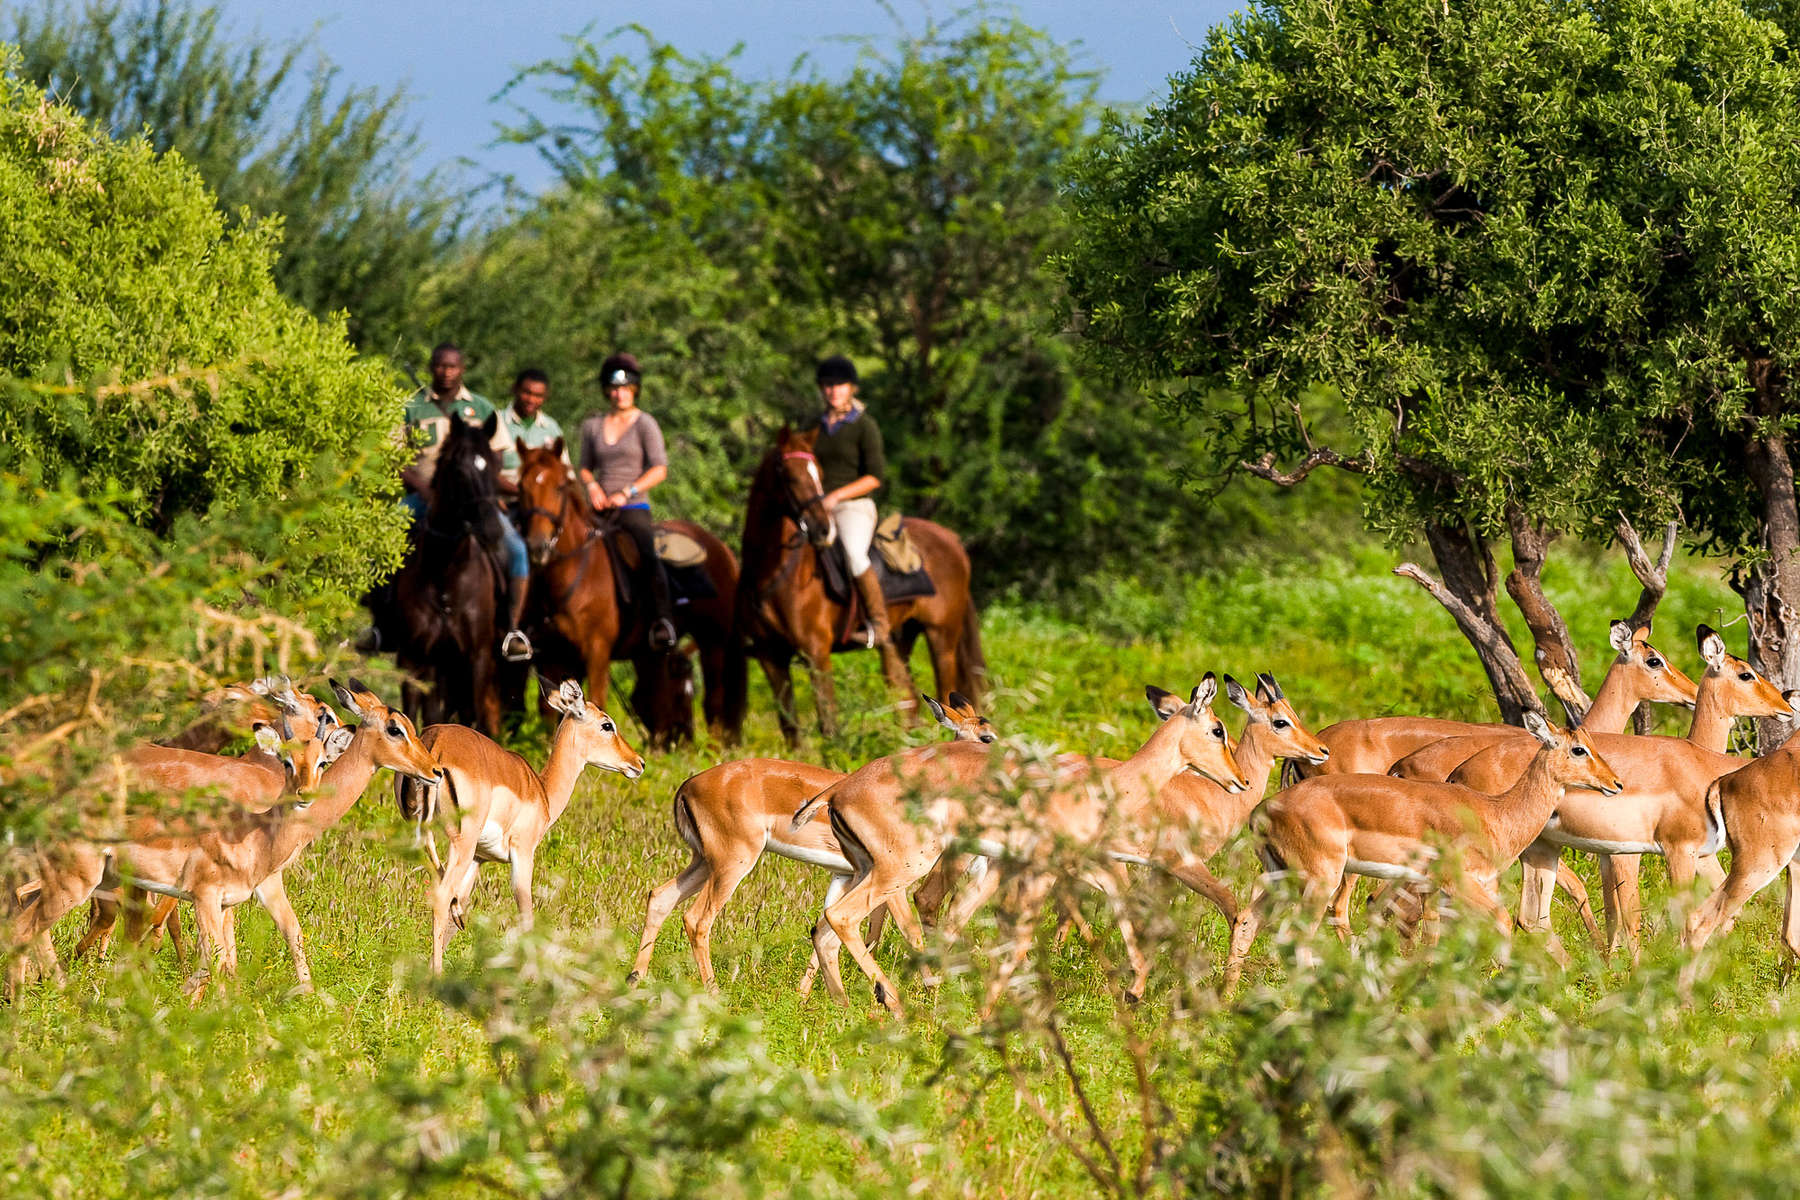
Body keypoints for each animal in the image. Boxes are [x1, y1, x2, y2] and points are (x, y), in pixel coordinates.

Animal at [383, 413, 514, 737]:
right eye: (459, 469)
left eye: (495, 466)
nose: (492, 529)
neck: (446, 577)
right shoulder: (419, 658)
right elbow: (417, 715)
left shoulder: (477, 658)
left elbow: (473, 716)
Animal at [514, 440, 745, 741]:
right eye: (521, 486)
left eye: (560, 487)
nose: (537, 546)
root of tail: (723, 550)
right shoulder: (553, 656)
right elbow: (550, 715)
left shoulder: (597, 651)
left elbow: (595, 701)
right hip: (652, 653)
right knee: (654, 699)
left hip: (713, 640)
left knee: (713, 700)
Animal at [730, 422, 986, 741]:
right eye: (789, 475)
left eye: (818, 474)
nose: (822, 528)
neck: (773, 572)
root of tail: (952, 540)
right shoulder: (771, 657)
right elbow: (791, 728)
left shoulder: (816, 654)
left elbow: (828, 723)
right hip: (901, 639)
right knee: (909, 699)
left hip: (941, 636)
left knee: (944, 693)